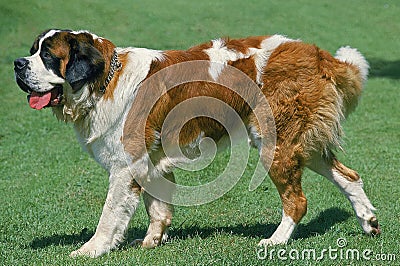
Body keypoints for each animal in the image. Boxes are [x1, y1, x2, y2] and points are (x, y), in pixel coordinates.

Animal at [13, 29, 382, 258]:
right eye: (32, 51)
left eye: (48, 56)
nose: (17, 63)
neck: (104, 78)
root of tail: (318, 54)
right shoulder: (151, 159)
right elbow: (157, 206)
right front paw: (153, 240)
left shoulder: (124, 166)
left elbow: (109, 214)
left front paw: (91, 249)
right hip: (301, 143)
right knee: (349, 176)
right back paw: (368, 220)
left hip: (275, 143)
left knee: (297, 202)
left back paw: (275, 241)